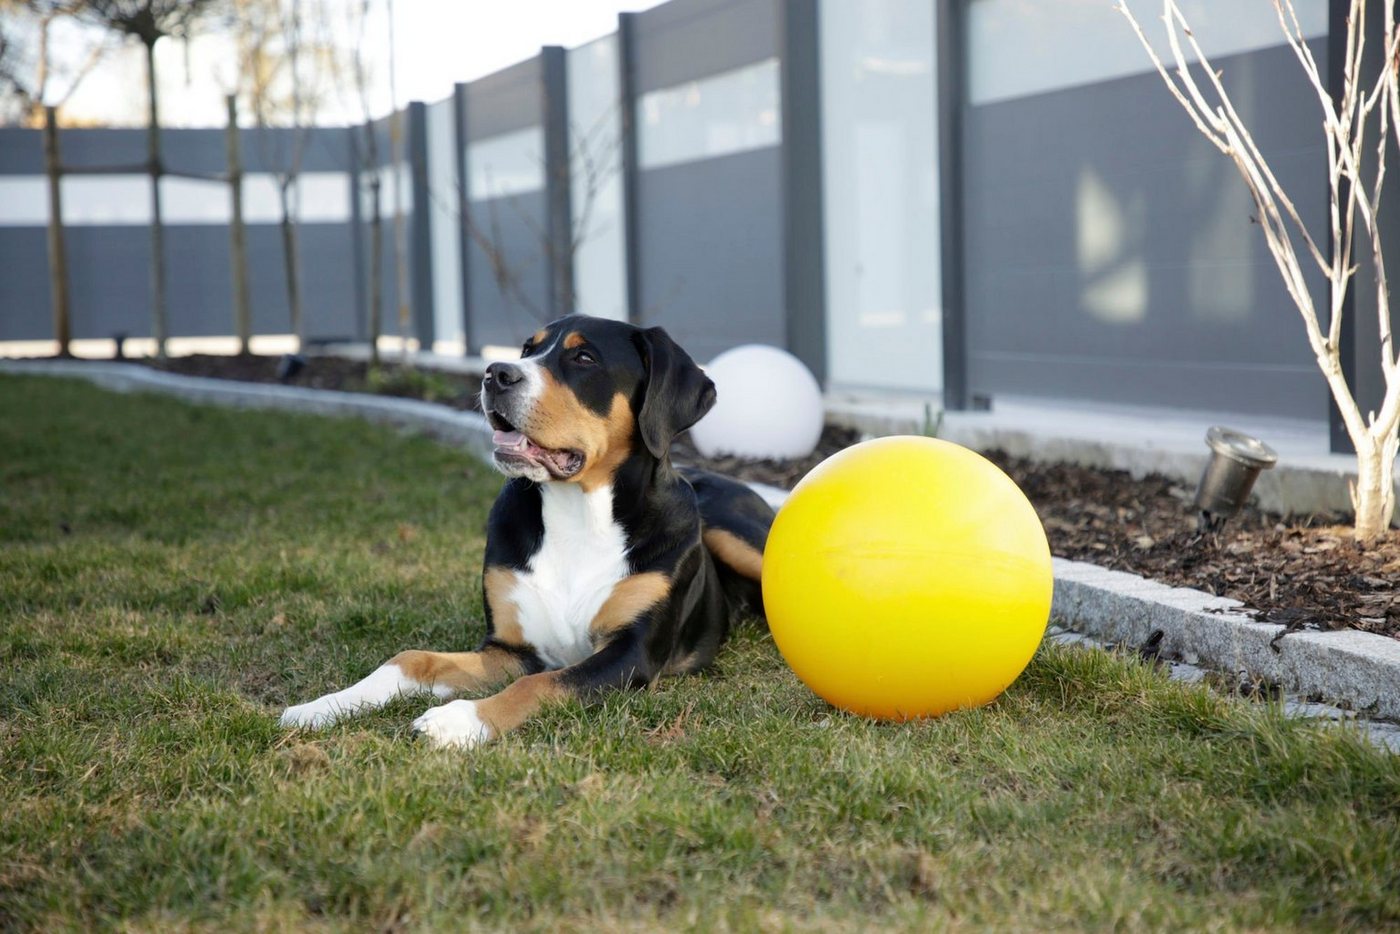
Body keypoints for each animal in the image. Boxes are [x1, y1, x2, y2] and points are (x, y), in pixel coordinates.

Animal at [277, 317, 772, 750]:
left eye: (584, 357)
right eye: (526, 350)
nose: (496, 373)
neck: (577, 516)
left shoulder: (630, 655)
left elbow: (541, 685)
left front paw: (458, 721)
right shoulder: (511, 649)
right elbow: (412, 659)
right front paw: (321, 707)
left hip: (737, 536)